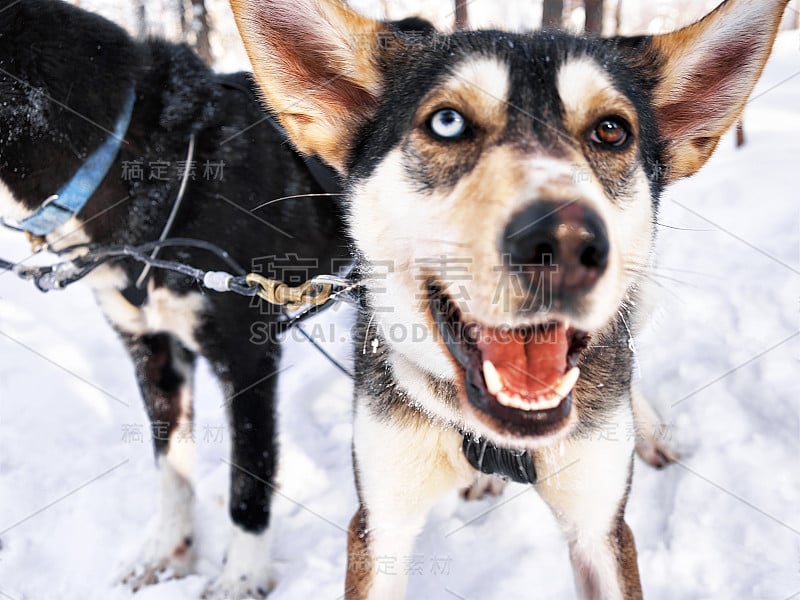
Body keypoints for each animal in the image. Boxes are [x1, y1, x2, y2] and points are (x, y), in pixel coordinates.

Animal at [0, 0, 354, 596]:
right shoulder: (154, 351)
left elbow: (249, 474)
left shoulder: (247, 354)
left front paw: (241, 575)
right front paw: (169, 551)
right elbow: (172, 468)